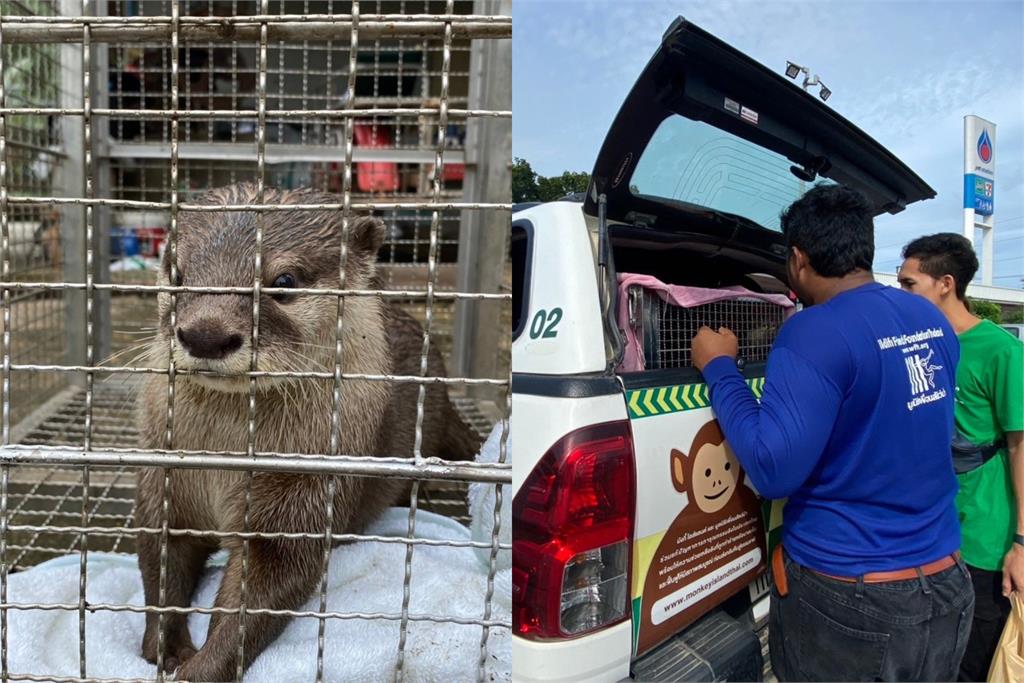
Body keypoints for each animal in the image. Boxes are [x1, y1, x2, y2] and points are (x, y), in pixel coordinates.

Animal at [132, 184, 479, 679]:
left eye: (284, 282)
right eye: (177, 274)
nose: (206, 334)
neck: (221, 461)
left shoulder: (302, 497)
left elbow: (263, 593)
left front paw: (200, 668)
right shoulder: (162, 476)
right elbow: (159, 556)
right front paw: (167, 645)